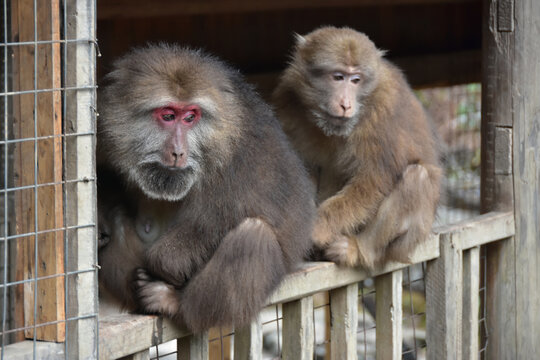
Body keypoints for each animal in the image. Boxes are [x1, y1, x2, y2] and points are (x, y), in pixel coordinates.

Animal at [97, 43, 316, 334]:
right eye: (168, 116)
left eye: (190, 117)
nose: (178, 151)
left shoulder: (238, 144)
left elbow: (230, 212)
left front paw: (163, 263)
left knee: (253, 234)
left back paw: (175, 304)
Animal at [272, 27, 440, 270]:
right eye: (338, 77)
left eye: (356, 80)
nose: (345, 104)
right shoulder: (287, 102)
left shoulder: (382, 111)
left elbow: (374, 179)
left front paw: (317, 228)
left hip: (409, 239)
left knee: (418, 177)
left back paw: (359, 249)